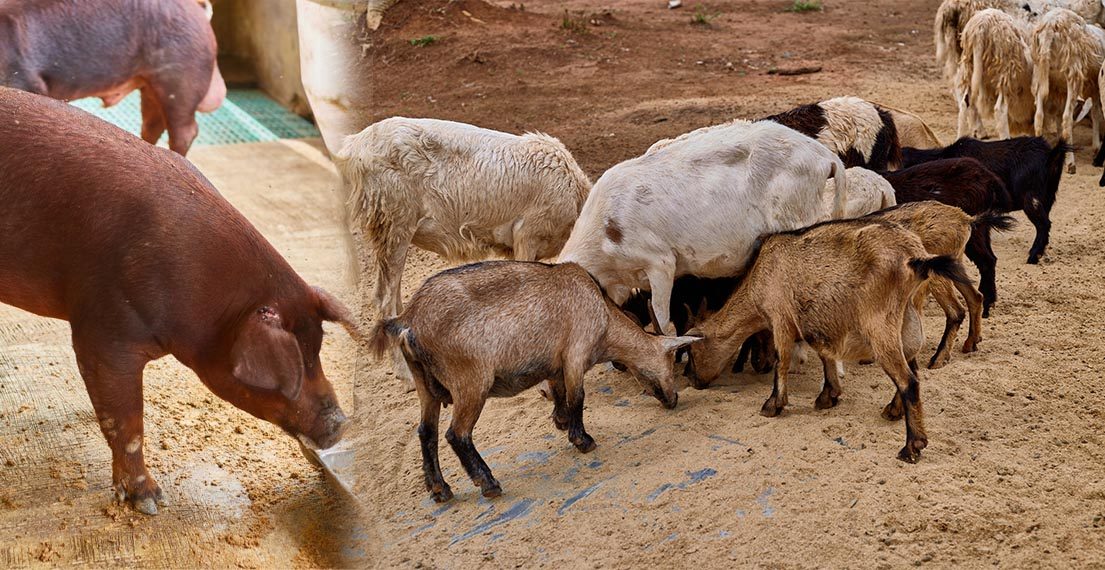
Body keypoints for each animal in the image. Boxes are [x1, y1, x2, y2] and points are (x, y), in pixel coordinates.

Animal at [0, 0, 226, 156]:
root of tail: (199, 12)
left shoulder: (26, 80)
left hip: (181, 81)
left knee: (185, 130)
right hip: (150, 87)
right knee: (152, 125)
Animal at [0, 87, 352, 515]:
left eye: (317, 350)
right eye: (293, 370)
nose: (341, 424)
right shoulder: (104, 329)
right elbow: (128, 422)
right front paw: (151, 503)